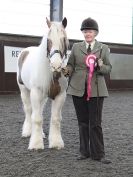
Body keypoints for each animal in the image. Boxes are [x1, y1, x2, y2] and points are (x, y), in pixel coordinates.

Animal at [16, 17, 68, 150]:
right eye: (48, 40)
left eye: (64, 39)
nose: (56, 66)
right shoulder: (35, 92)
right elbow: (37, 118)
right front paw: (36, 144)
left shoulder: (60, 95)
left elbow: (55, 119)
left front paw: (56, 143)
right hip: (24, 90)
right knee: (29, 111)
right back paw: (28, 132)